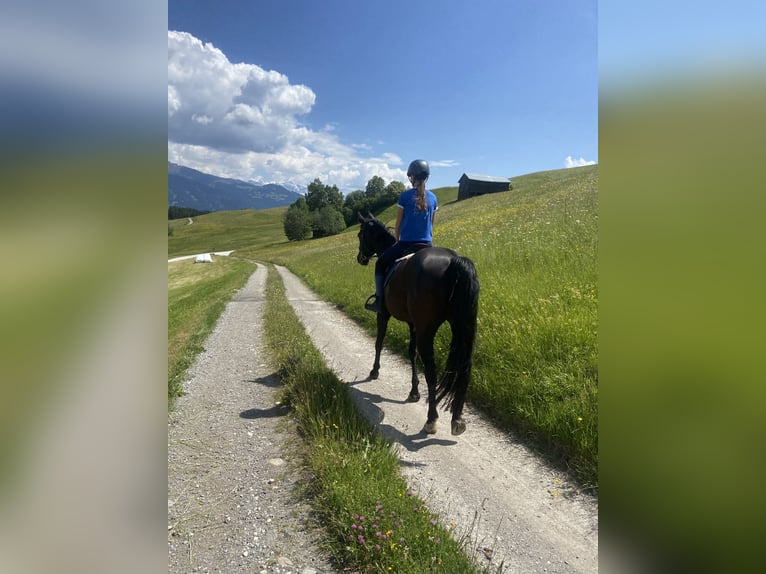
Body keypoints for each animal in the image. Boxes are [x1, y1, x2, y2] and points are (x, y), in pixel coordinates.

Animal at [356, 215, 480, 436]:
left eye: (360, 235)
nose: (360, 258)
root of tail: (453, 261)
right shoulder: (413, 323)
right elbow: (411, 353)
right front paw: (414, 392)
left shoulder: (384, 315)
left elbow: (379, 342)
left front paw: (374, 371)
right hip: (462, 328)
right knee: (464, 369)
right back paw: (457, 419)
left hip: (426, 332)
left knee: (431, 372)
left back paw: (431, 420)